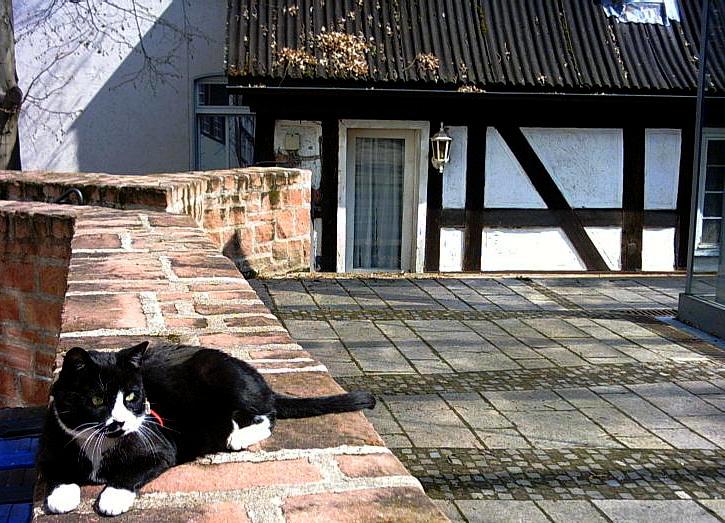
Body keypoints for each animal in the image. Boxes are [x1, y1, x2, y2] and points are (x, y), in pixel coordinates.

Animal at [39, 342, 376, 516]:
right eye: (97, 399)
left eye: (132, 396)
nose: (120, 422)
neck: (98, 445)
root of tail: (260, 380)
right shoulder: (53, 441)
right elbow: (56, 471)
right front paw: (62, 495)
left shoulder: (160, 448)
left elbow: (131, 472)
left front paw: (112, 498)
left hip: (224, 378)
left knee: (267, 414)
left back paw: (238, 436)